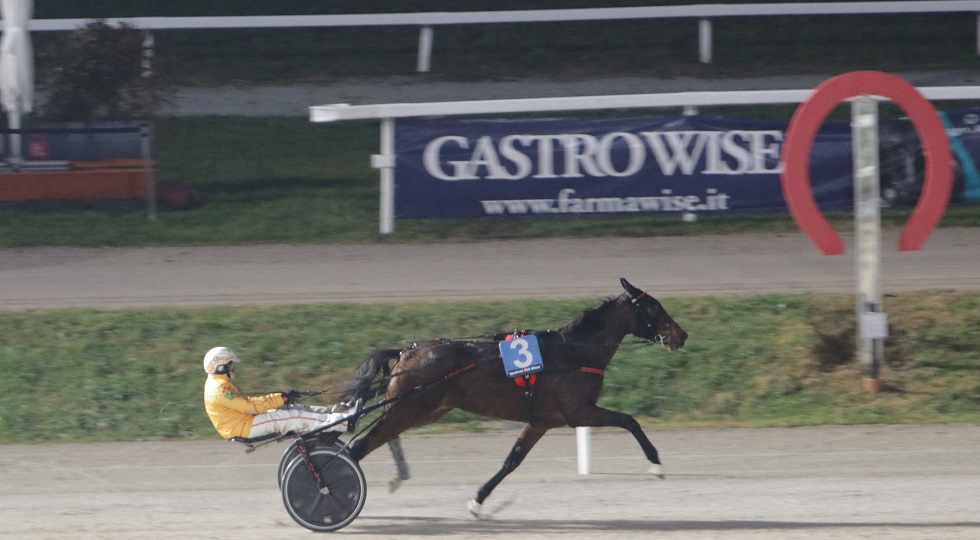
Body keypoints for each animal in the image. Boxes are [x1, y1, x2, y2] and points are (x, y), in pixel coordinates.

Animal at [337, 278, 688, 516]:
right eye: (654, 306)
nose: (681, 335)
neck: (575, 352)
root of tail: (405, 352)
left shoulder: (542, 420)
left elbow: (512, 460)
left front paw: (478, 501)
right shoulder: (578, 412)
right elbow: (630, 421)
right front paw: (656, 465)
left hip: (425, 409)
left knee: (381, 439)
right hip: (410, 407)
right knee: (360, 446)